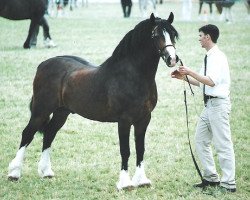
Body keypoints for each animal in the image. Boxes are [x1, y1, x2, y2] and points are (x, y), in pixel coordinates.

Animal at [7, 12, 179, 191]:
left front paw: (142, 180)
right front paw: (125, 183)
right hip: (41, 110)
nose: (172, 59)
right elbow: (125, 150)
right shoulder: (124, 120)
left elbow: (140, 149)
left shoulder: (144, 119)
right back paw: (14, 173)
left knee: (49, 134)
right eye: (156, 35)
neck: (132, 76)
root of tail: (43, 65)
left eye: (173, 34)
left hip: (61, 113)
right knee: (27, 134)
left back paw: (46, 172)